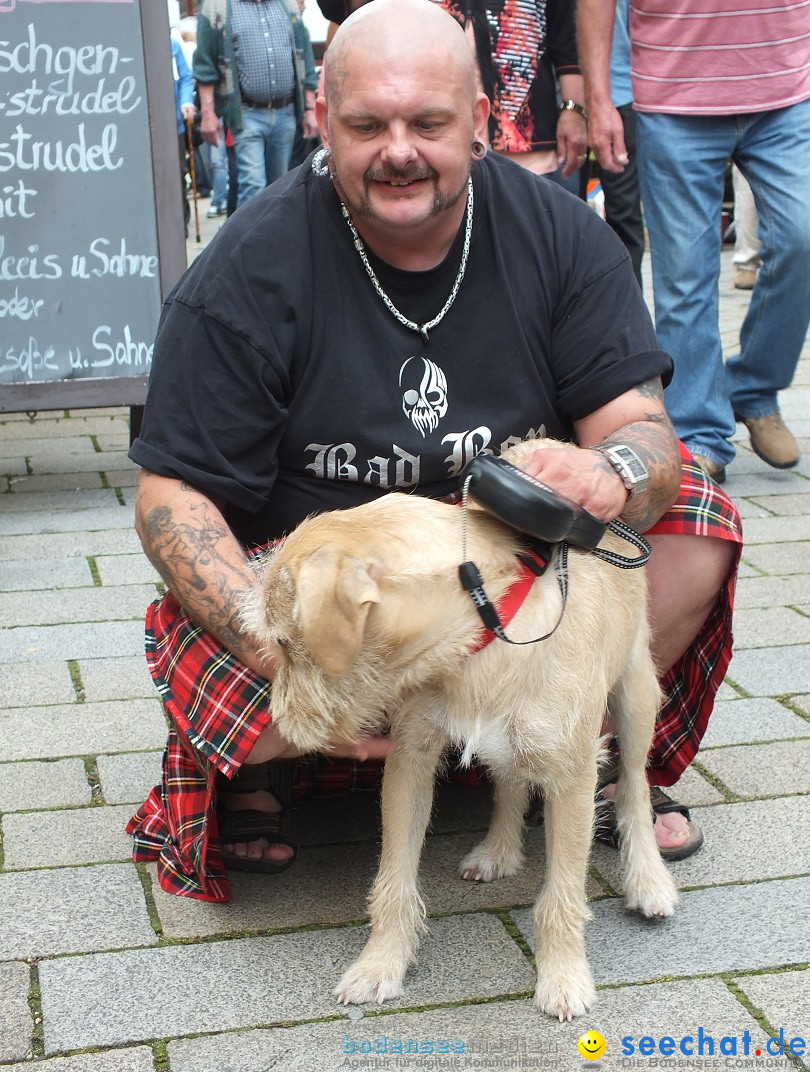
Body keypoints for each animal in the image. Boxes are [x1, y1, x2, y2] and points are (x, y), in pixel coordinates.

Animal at [243, 441, 681, 1020]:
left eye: (286, 644)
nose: (280, 722)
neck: (487, 625)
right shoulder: (410, 758)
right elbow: (394, 877)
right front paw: (380, 965)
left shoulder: (573, 777)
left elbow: (562, 894)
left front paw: (563, 978)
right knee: (511, 780)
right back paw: (498, 852)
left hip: (635, 696)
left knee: (633, 785)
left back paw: (649, 880)